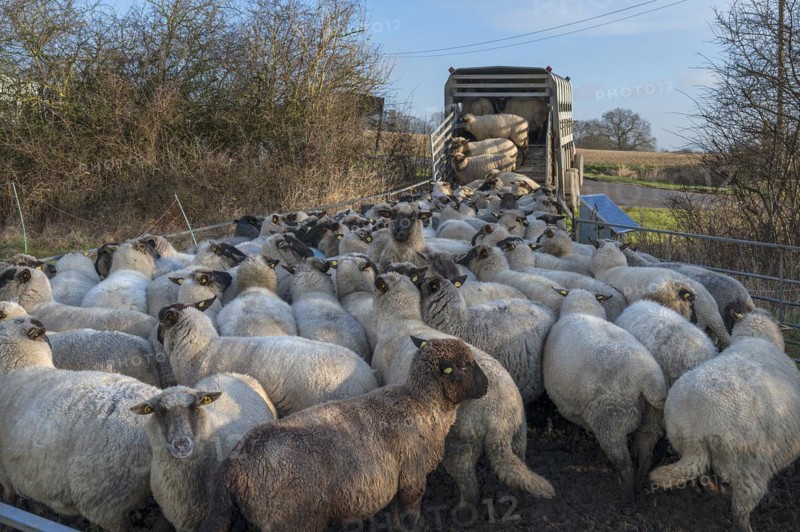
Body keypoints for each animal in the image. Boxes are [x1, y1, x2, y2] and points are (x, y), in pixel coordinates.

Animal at [202, 337, 489, 532]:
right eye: (464, 366)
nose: (487, 385)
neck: (423, 406)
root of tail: (236, 463)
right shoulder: (412, 477)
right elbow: (410, 516)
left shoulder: (397, 480)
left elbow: (395, 516)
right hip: (290, 520)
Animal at [543, 289, 667, 504]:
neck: (582, 311)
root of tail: (647, 380)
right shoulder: (576, 400)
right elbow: (575, 423)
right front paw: (570, 443)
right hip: (651, 421)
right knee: (646, 458)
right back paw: (638, 486)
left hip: (611, 422)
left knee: (625, 465)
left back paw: (626, 500)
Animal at [649, 310, 800, 532]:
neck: (756, 337)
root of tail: (696, 430)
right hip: (750, 468)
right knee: (740, 510)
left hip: (692, 449)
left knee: (705, 477)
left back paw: (718, 491)